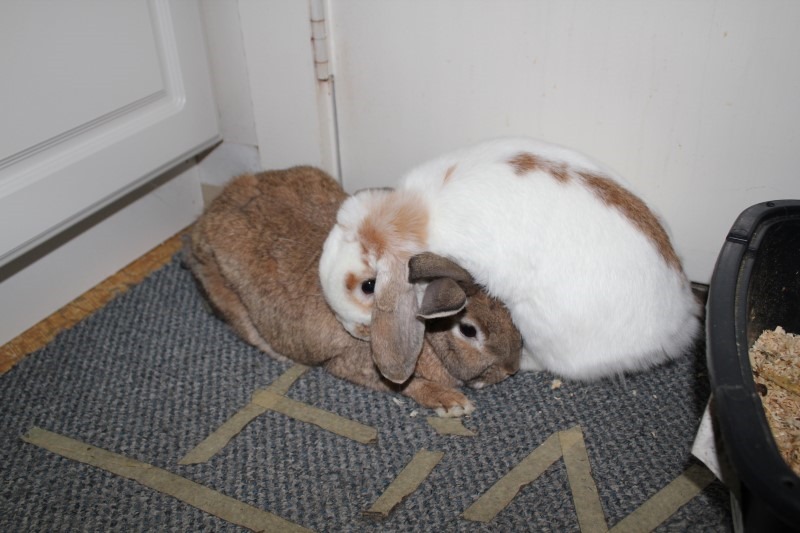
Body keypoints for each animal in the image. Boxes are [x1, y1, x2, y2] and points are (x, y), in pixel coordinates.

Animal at [185, 165, 521, 417]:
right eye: (468, 330)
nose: (511, 369)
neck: (427, 335)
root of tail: (205, 221)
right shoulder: (353, 362)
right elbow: (405, 384)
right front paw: (450, 402)